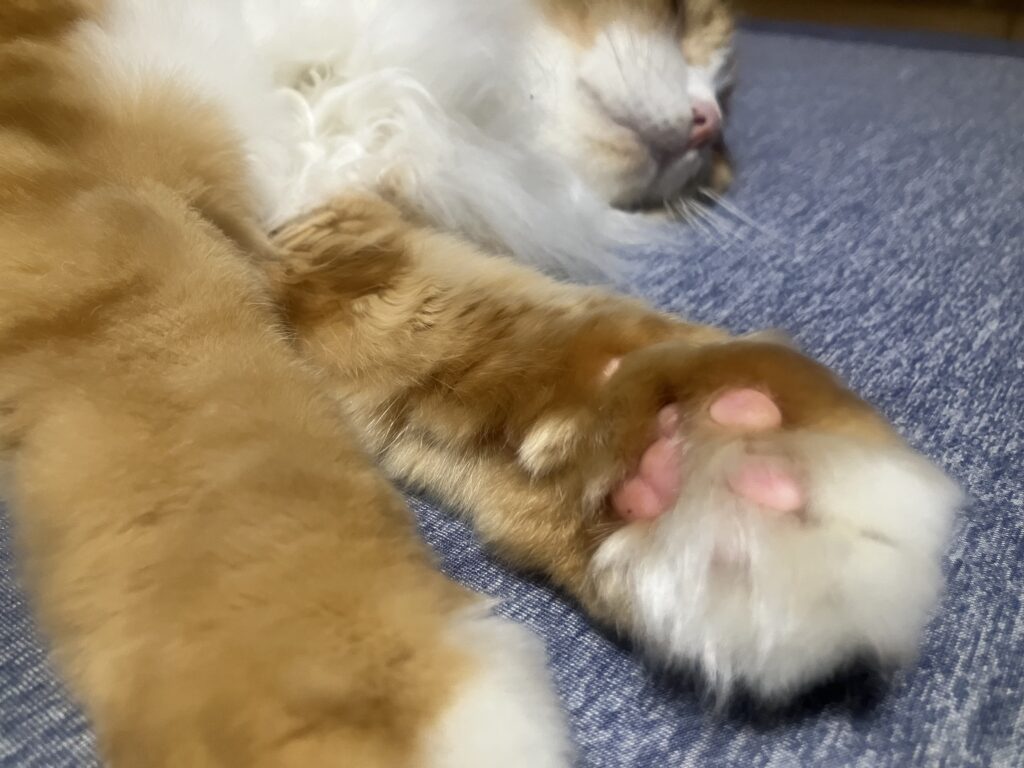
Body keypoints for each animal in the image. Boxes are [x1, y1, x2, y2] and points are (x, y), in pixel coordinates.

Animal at [0, 1, 960, 767]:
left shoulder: (318, 238)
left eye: (720, 114)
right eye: (687, 18)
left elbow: (507, 332)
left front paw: (714, 456)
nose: (705, 131)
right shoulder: (80, 176)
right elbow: (230, 449)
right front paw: (349, 697)